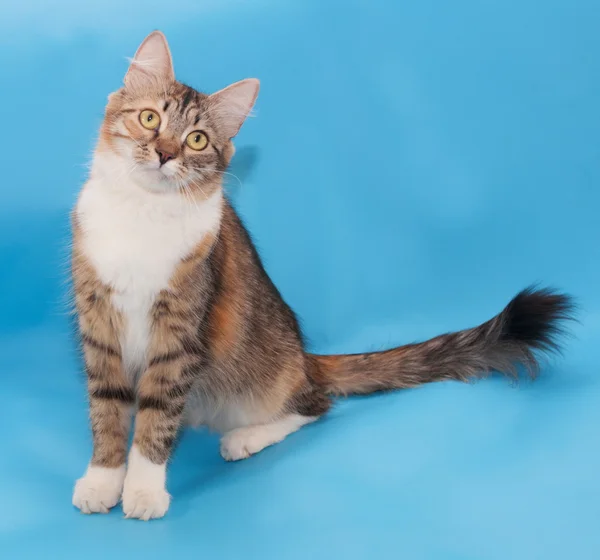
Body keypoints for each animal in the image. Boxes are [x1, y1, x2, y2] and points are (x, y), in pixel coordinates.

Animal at [71, 31, 576, 520]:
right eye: (150, 119)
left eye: (196, 140)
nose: (164, 153)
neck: (143, 214)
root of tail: (304, 358)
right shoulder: (99, 326)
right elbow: (107, 411)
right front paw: (104, 481)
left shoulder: (179, 337)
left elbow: (156, 420)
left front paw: (143, 491)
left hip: (258, 381)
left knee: (315, 404)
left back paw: (245, 438)